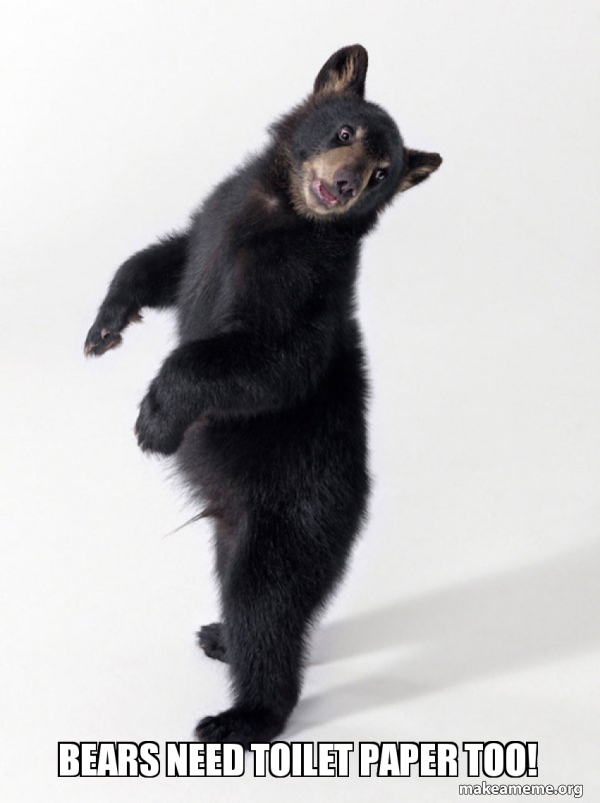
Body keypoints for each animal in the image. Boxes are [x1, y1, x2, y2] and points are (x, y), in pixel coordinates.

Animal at [84, 44, 441, 747]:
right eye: (344, 132)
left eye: (384, 172)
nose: (348, 184)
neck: (281, 213)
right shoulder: (212, 220)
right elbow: (165, 260)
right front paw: (107, 323)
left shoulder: (300, 287)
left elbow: (268, 362)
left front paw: (154, 422)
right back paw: (220, 636)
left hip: (288, 521)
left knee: (267, 607)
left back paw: (241, 715)